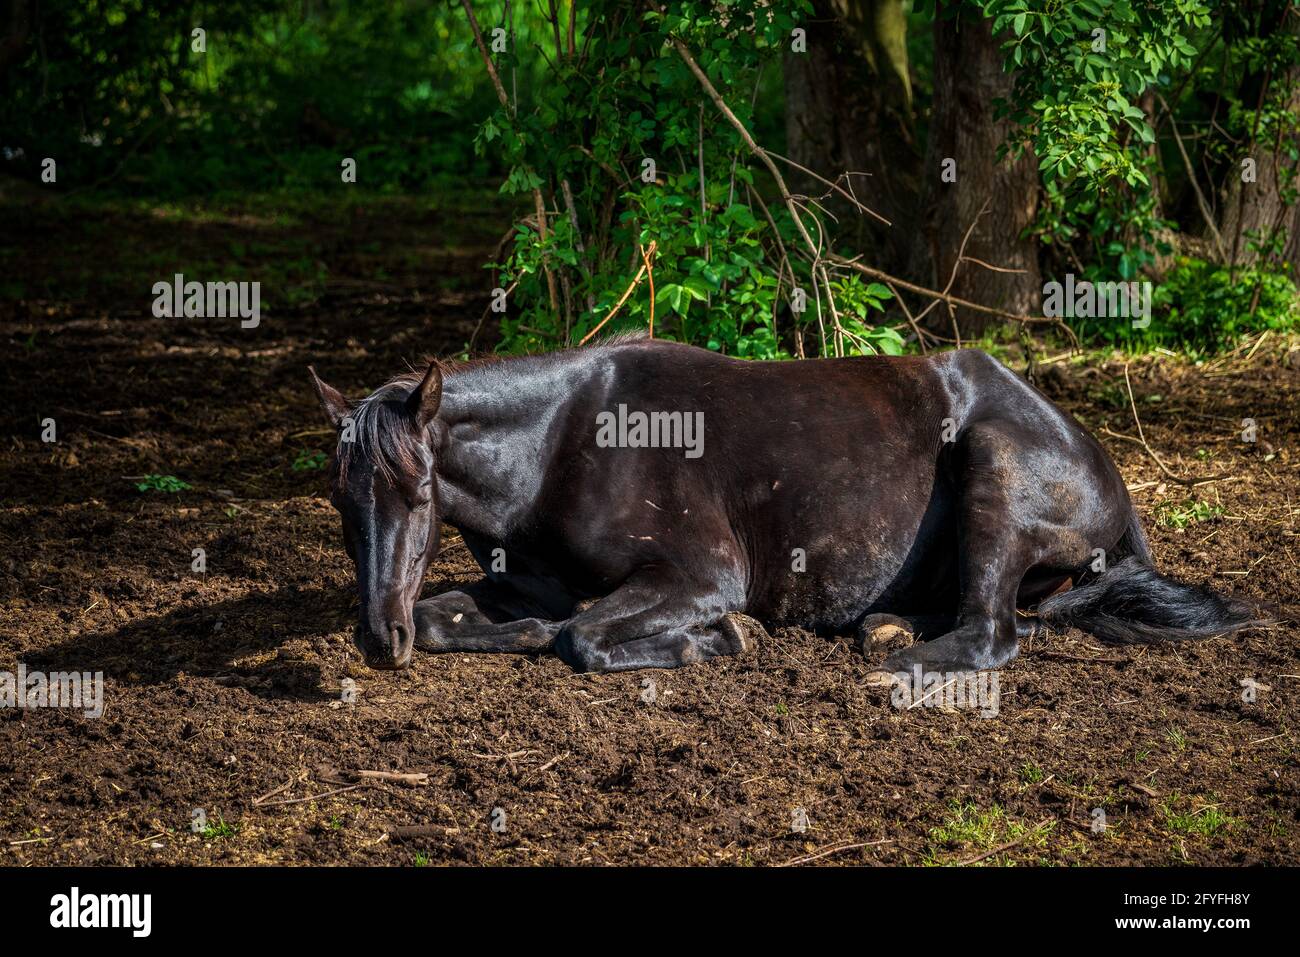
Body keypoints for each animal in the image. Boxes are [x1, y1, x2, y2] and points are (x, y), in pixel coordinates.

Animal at [307, 333, 1263, 674]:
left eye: (417, 491)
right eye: (340, 503)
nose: (376, 637)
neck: (557, 445)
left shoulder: (699, 572)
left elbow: (583, 636)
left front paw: (717, 639)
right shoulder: (522, 583)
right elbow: (458, 616)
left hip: (994, 468)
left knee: (993, 632)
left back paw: (895, 662)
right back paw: (888, 628)